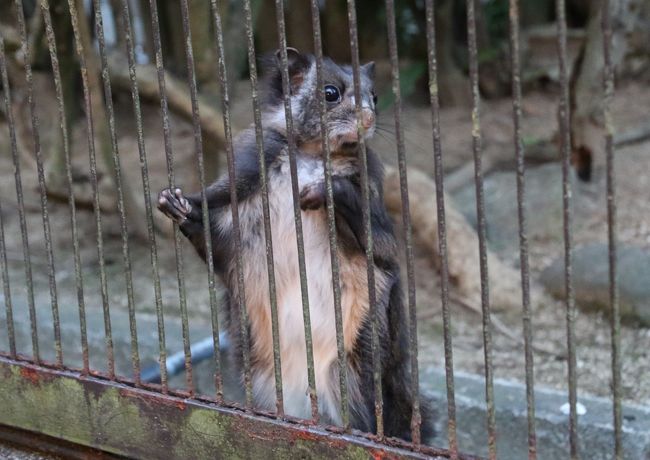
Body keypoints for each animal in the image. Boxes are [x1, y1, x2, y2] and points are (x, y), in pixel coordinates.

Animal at [156, 48, 430, 440]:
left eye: (376, 96)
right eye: (330, 93)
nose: (368, 119)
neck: (311, 154)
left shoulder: (372, 194)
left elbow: (379, 245)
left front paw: (325, 190)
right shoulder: (247, 172)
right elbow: (215, 223)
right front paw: (178, 203)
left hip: (360, 359)